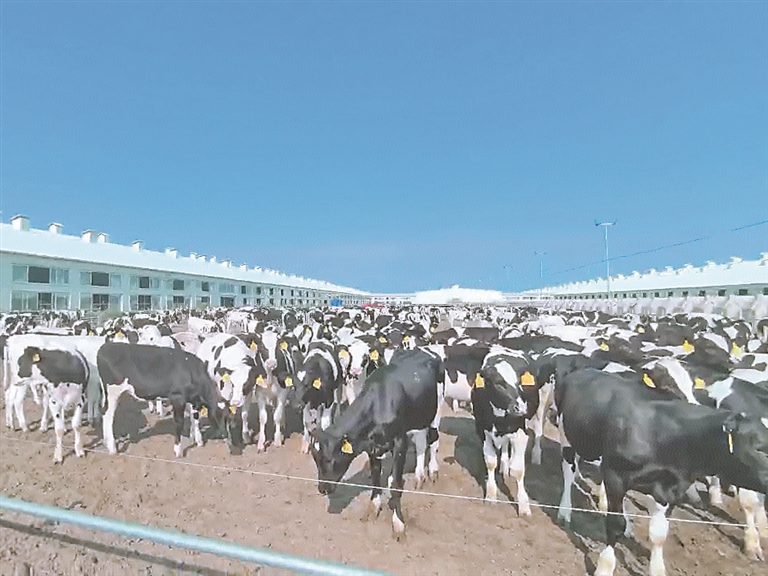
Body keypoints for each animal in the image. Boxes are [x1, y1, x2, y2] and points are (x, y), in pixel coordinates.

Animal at [96, 342, 237, 457]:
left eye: (230, 418)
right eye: (220, 416)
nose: (233, 449)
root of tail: (105, 347)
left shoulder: (191, 400)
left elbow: (195, 418)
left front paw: (199, 440)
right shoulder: (177, 397)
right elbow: (179, 422)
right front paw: (178, 450)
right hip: (113, 391)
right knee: (108, 415)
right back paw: (112, 448)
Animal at [309, 347, 444, 539]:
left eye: (330, 460)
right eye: (315, 459)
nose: (322, 488)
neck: (379, 403)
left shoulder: (400, 441)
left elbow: (396, 485)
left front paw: (398, 523)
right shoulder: (372, 447)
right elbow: (375, 476)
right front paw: (374, 507)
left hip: (436, 410)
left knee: (432, 441)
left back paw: (431, 471)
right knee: (420, 442)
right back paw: (418, 475)